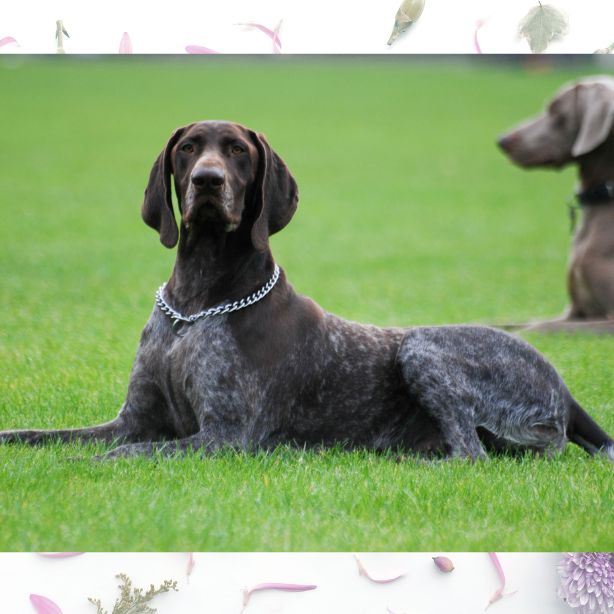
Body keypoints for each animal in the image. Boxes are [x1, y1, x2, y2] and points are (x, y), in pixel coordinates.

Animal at [1, 121, 614, 462]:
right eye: (187, 149)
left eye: (238, 151)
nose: (207, 180)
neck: (197, 305)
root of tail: (564, 390)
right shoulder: (132, 417)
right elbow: (48, 435)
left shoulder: (223, 437)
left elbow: (121, 453)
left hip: (424, 347)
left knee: (470, 454)